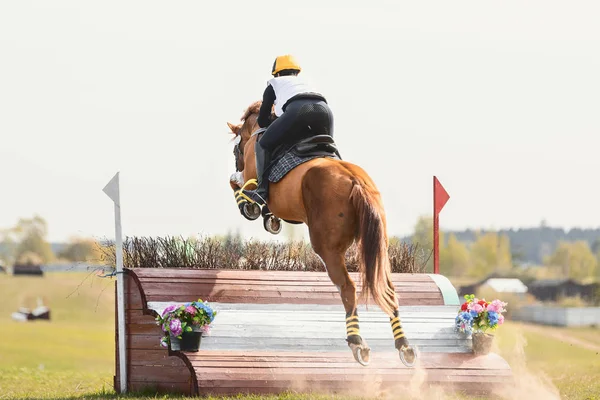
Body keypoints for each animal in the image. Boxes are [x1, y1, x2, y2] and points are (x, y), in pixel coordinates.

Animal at [227, 101, 414, 368]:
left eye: (236, 151)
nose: (239, 161)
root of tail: (355, 181)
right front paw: (270, 220)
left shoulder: (251, 178)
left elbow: (237, 184)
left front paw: (249, 207)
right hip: (379, 245)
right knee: (387, 289)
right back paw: (404, 346)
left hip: (327, 248)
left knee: (347, 288)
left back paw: (358, 343)